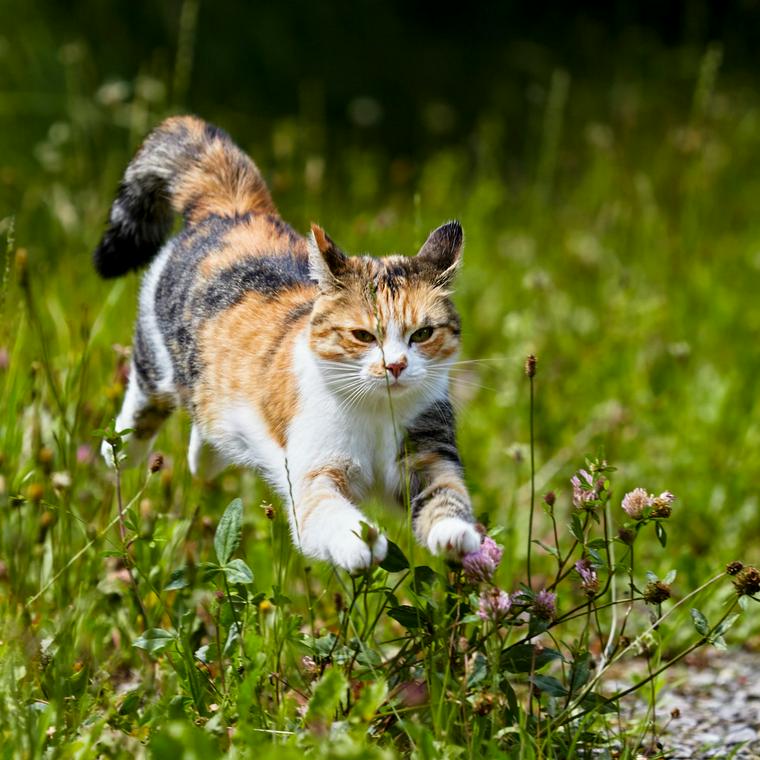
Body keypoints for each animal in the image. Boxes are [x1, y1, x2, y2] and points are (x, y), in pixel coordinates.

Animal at [92, 116, 478, 572]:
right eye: (363, 335)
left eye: (422, 334)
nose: (396, 366)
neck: (377, 413)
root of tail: (234, 207)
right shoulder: (313, 473)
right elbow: (326, 511)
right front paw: (360, 543)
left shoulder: (428, 453)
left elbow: (446, 494)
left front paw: (457, 535)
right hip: (157, 360)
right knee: (143, 401)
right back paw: (120, 450)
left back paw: (206, 457)